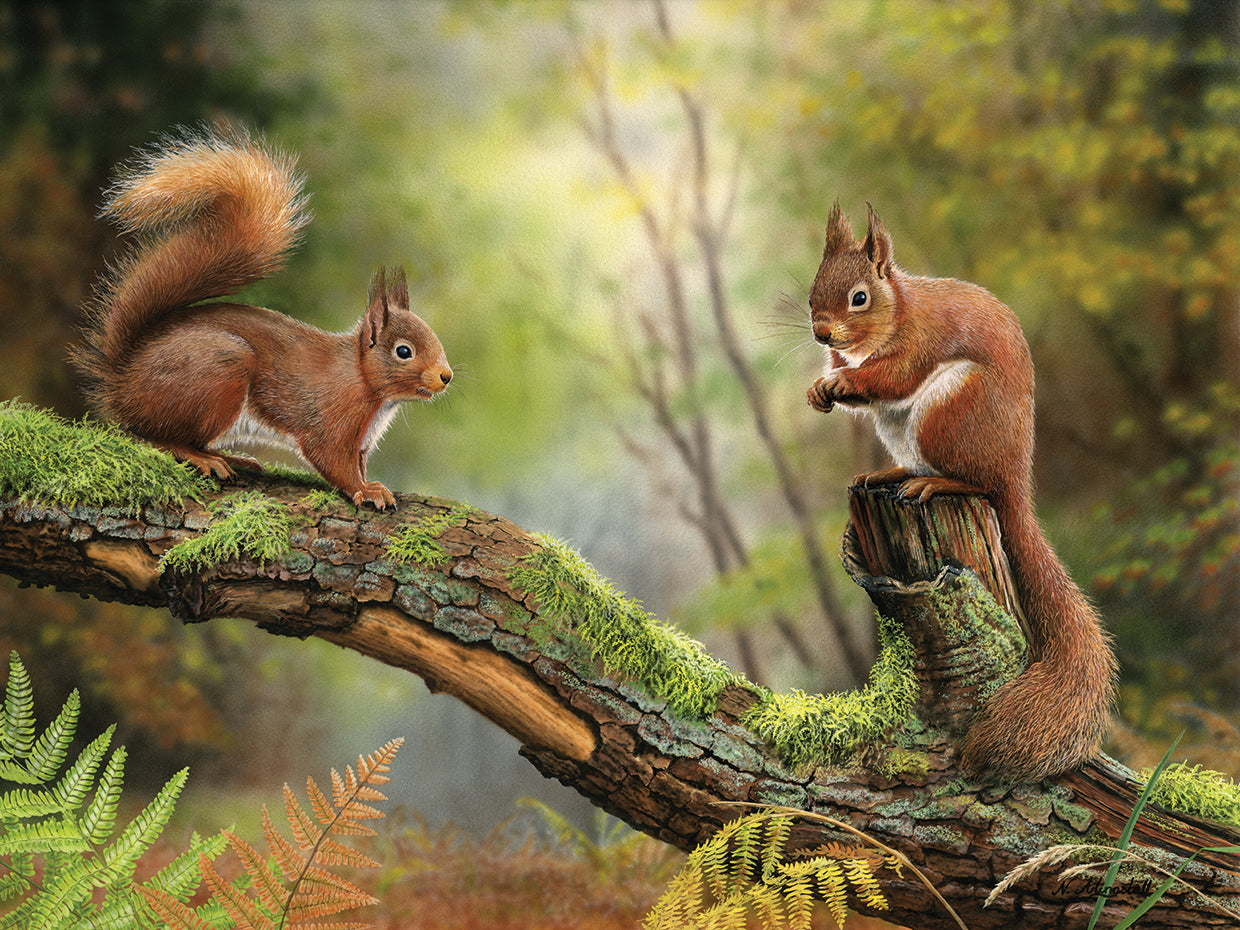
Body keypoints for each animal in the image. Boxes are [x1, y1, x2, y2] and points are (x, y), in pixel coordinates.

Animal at [71, 127, 452, 510]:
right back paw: (202, 458)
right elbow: (333, 462)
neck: (363, 380)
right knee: (150, 436)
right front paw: (365, 491)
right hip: (219, 371)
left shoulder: (362, 441)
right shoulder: (330, 419)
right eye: (403, 351)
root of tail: (123, 380)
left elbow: (357, 464)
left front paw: (372, 484)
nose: (445, 376)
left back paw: (232, 457)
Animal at [806, 201, 1117, 782]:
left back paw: (934, 482)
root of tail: (1015, 476)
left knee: (975, 482)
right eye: (813, 290)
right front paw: (822, 386)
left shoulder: (918, 344)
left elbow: (891, 377)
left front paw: (842, 382)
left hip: (951, 413)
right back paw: (889, 476)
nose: (821, 334)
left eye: (859, 297)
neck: (896, 314)